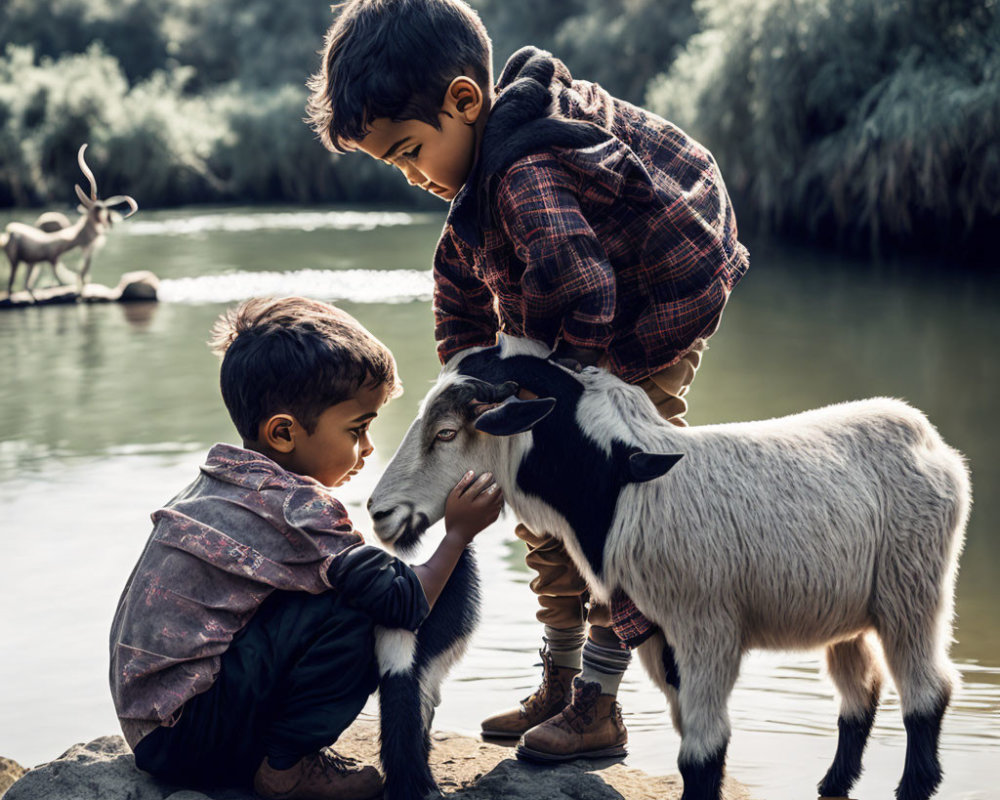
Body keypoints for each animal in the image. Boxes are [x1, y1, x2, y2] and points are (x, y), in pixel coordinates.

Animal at [0, 145, 138, 300]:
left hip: (28, 264)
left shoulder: (45, 261)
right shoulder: (52, 260)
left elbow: (77, 277)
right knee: (11, 286)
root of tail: (6, 234)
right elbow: (67, 280)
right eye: (98, 212)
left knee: (24, 285)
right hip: (14, 260)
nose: (105, 227)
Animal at [368, 334, 968, 800]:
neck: (621, 483)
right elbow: (694, 746)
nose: (379, 512)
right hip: (848, 610)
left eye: (447, 433)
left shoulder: (707, 627)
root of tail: (929, 438)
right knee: (859, 693)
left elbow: (702, 753)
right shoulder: (660, 636)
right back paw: (833, 782)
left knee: (927, 690)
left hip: (913, 588)